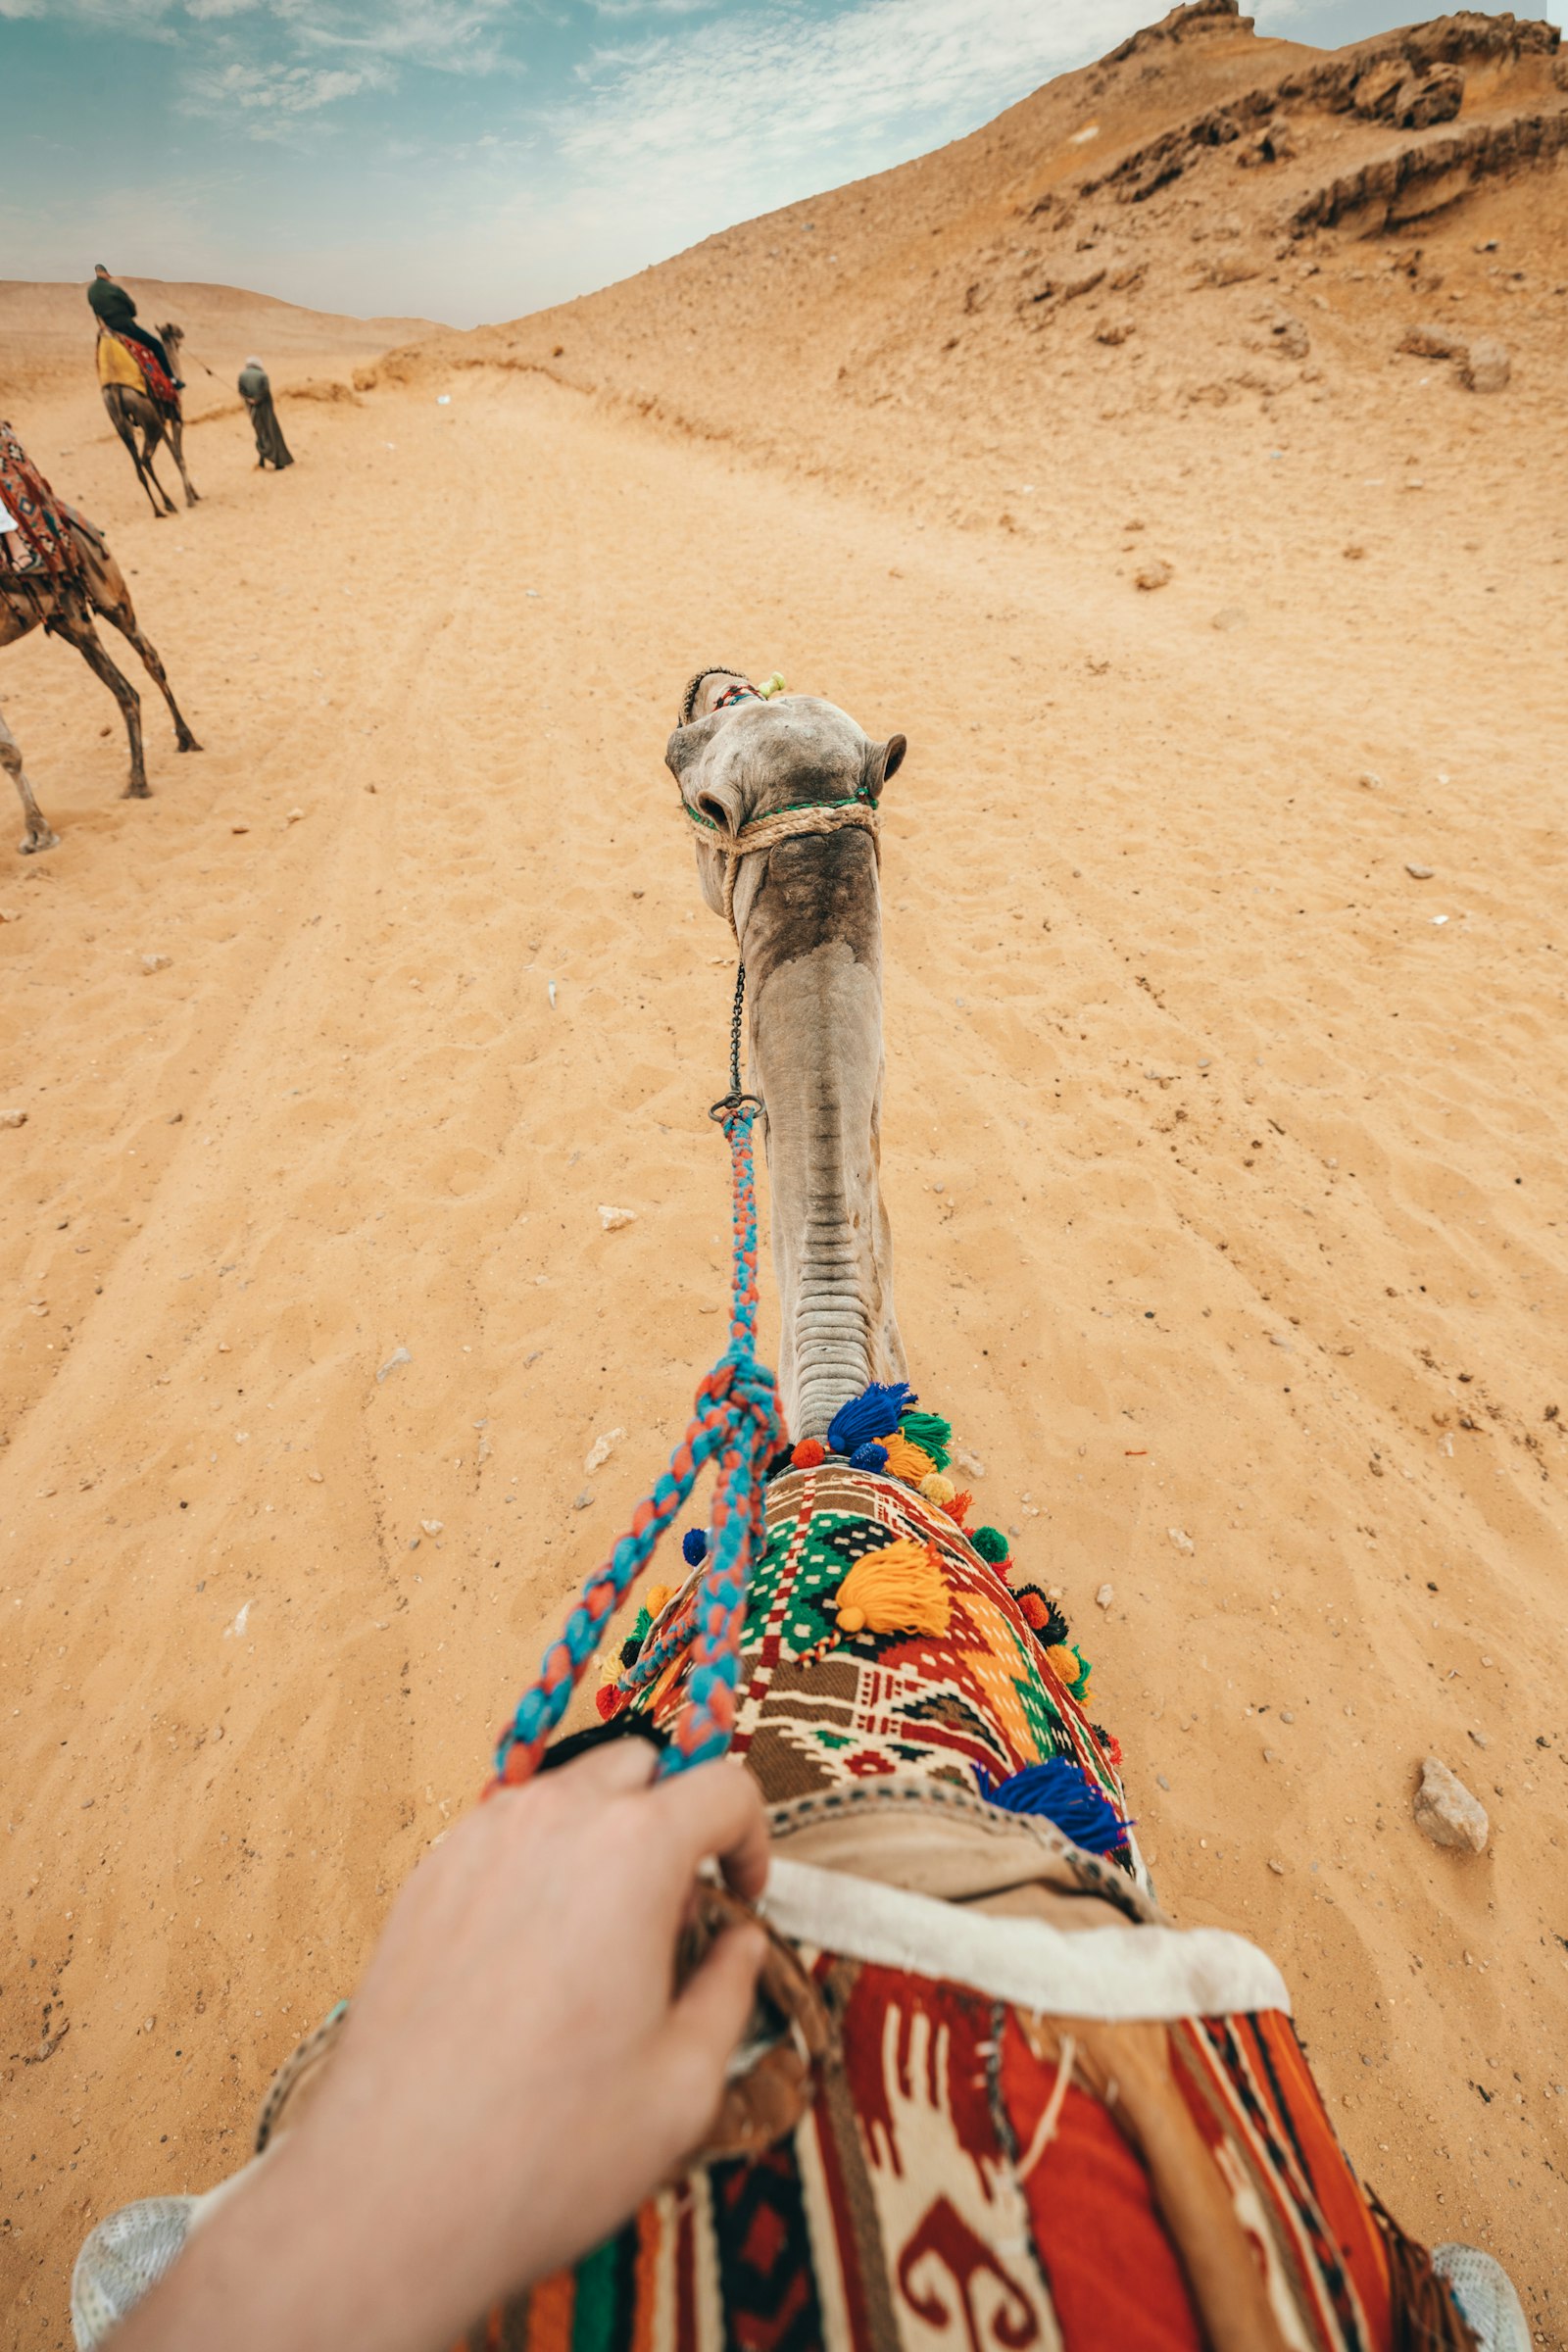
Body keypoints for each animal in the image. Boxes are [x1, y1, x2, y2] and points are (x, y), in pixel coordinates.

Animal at [0, 517, 202, 847]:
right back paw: (147, 769)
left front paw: (39, 831)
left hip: (109, 592)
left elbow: (8, 750)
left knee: (150, 660)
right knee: (126, 690)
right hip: (67, 616)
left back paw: (168, 754)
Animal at [99, 321, 199, 514]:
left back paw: (161, 508)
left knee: (138, 466)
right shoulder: (175, 418)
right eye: (175, 329)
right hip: (150, 422)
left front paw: (192, 493)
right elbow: (179, 456)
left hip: (121, 423)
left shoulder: (162, 420)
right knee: (145, 459)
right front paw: (191, 497)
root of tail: (115, 387)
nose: (182, 333)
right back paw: (167, 504)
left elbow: (174, 454)